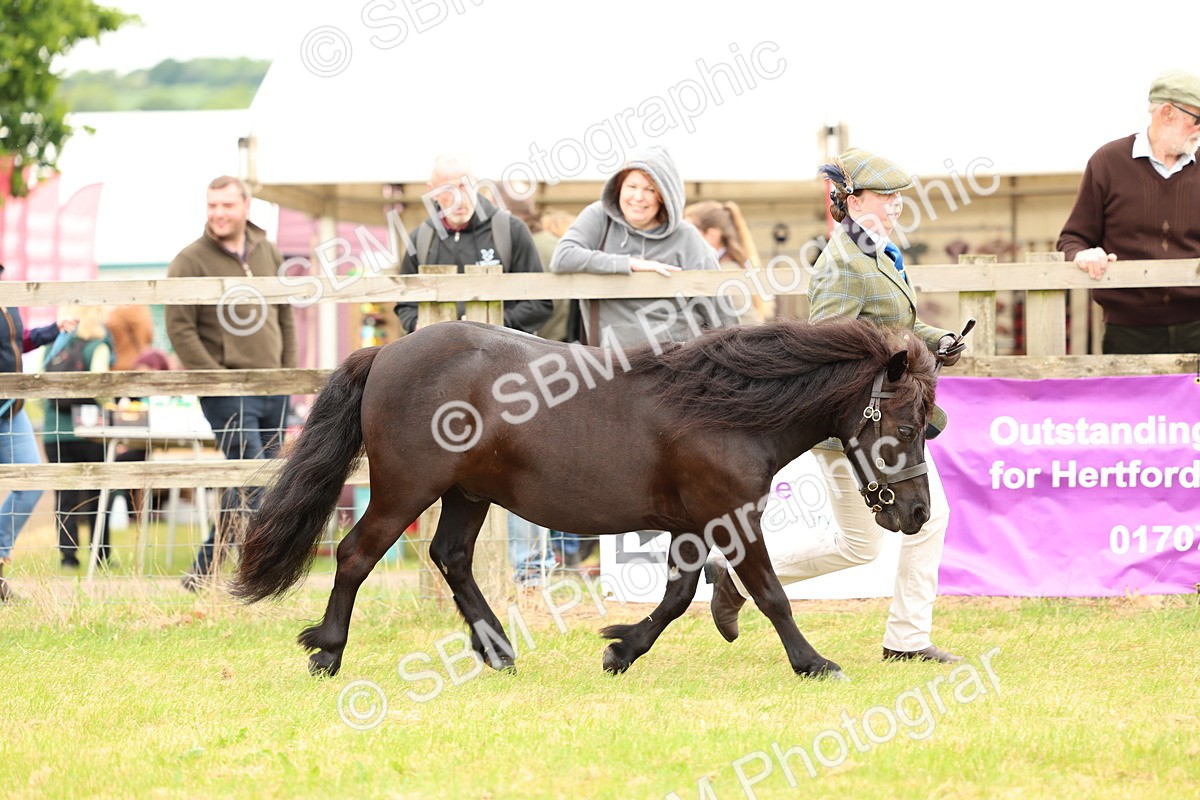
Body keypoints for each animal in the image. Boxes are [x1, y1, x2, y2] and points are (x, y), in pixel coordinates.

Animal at [232, 316, 938, 681]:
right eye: (908, 427)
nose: (918, 513)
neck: (725, 409)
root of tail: (385, 353)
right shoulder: (729, 517)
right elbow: (771, 594)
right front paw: (813, 662)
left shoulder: (688, 524)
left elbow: (679, 596)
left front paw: (622, 648)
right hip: (407, 489)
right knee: (355, 555)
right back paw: (327, 651)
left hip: (466, 494)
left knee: (451, 557)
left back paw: (497, 650)